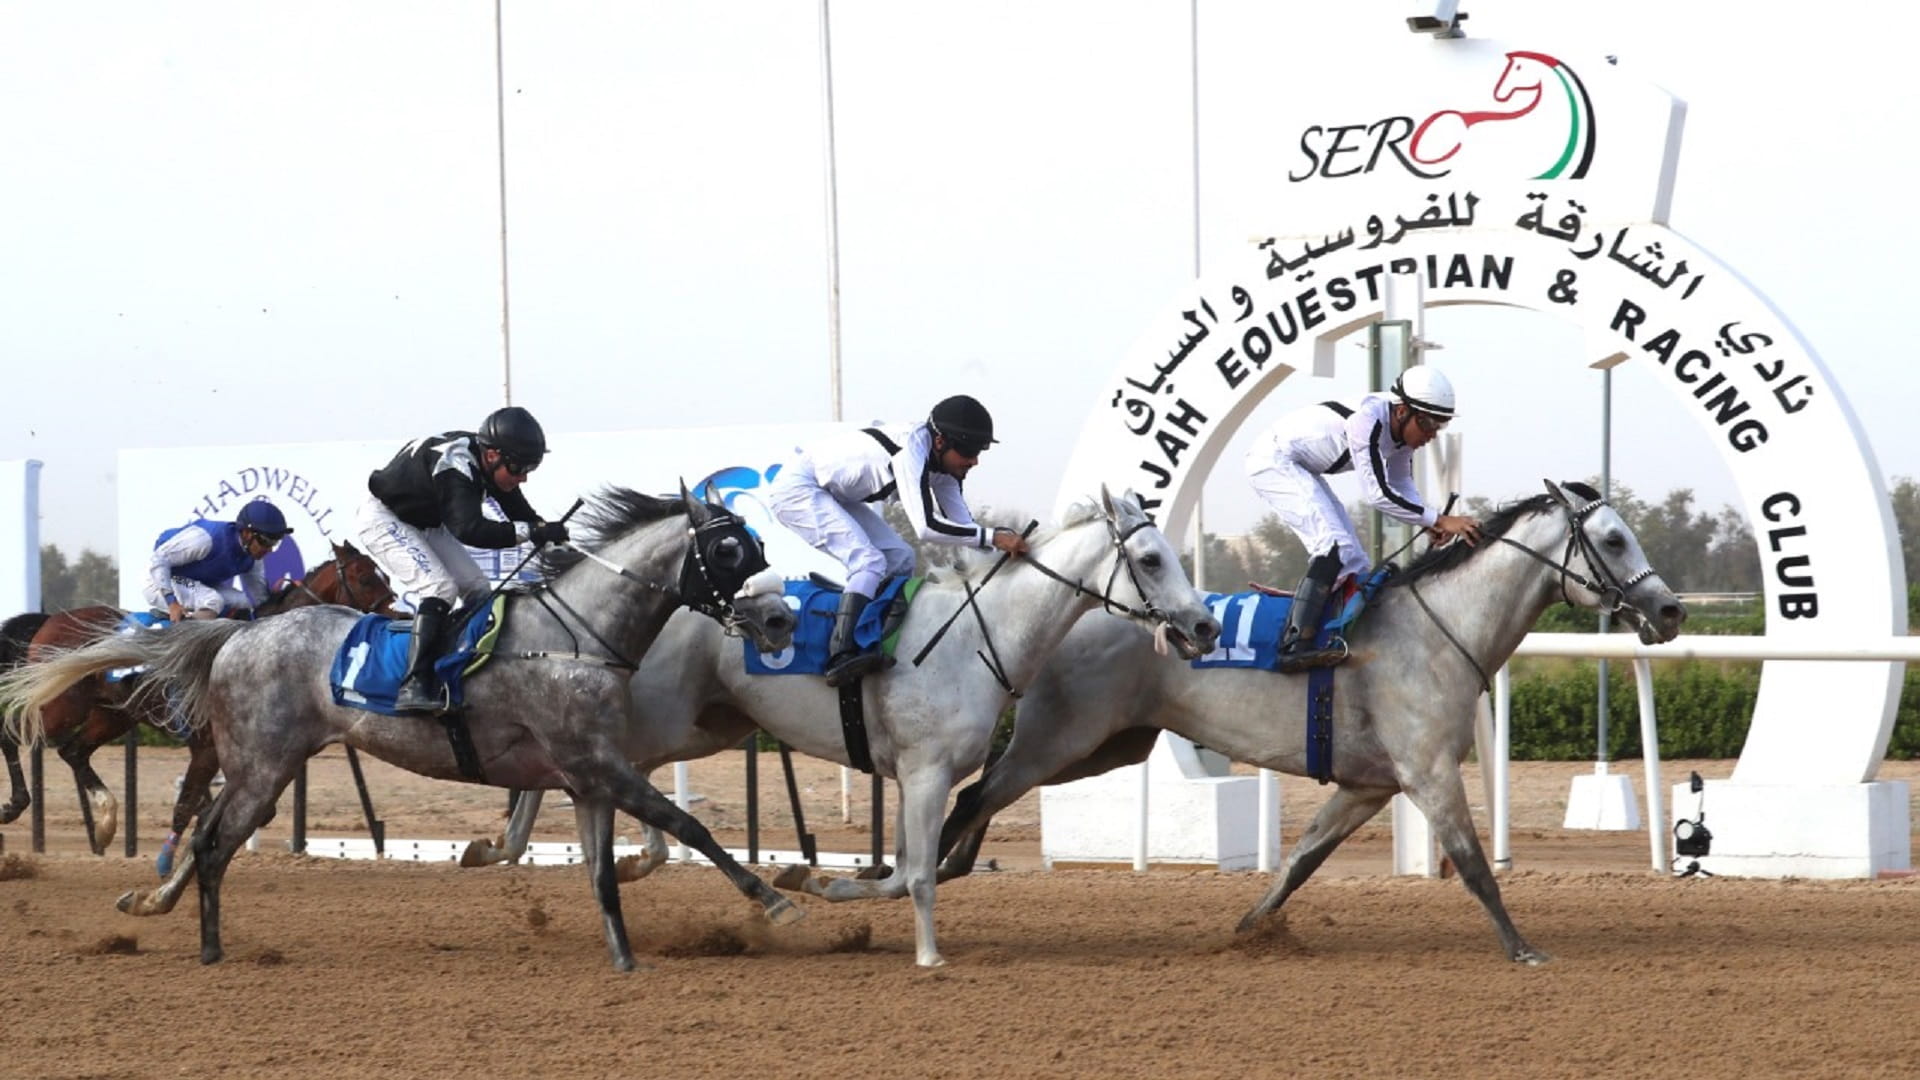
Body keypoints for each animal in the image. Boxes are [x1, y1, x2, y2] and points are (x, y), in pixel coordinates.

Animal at [0, 541, 397, 853]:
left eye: (387, 577)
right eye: (365, 578)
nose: (395, 614)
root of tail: (49, 620)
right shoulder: (208, 742)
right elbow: (195, 804)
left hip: (112, 714)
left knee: (74, 751)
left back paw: (105, 823)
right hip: (61, 706)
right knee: (12, 732)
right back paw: (15, 804)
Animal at [936, 476, 1689, 957]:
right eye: (1613, 541)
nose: (1672, 609)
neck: (1437, 629)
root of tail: (1074, 606)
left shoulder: (1368, 785)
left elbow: (1302, 859)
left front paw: (1247, 932)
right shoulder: (1428, 772)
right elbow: (1473, 862)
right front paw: (1523, 947)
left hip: (1106, 747)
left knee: (983, 793)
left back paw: (949, 866)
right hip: (1062, 738)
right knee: (977, 793)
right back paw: (932, 871)